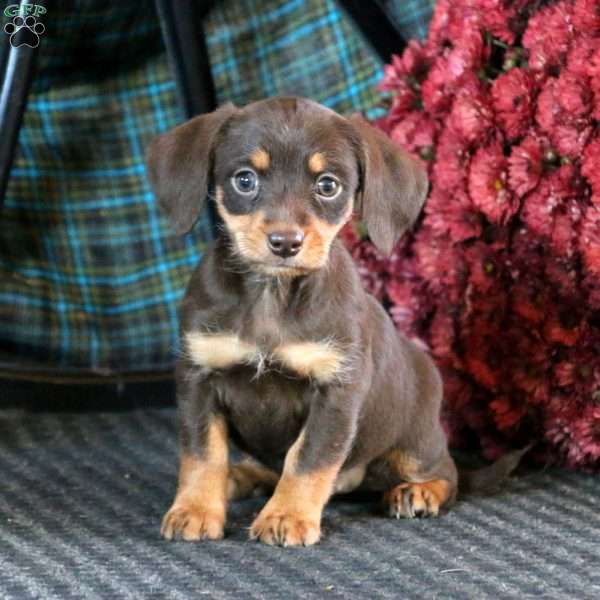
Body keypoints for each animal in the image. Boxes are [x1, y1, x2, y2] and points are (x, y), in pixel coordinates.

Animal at [148, 95, 458, 548]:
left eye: (328, 185)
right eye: (244, 180)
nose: (285, 242)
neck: (271, 295)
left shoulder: (336, 388)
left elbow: (308, 458)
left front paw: (287, 515)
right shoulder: (197, 376)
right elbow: (203, 453)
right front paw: (197, 509)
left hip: (416, 443)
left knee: (447, 472)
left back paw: (417, 492)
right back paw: (240, 476)